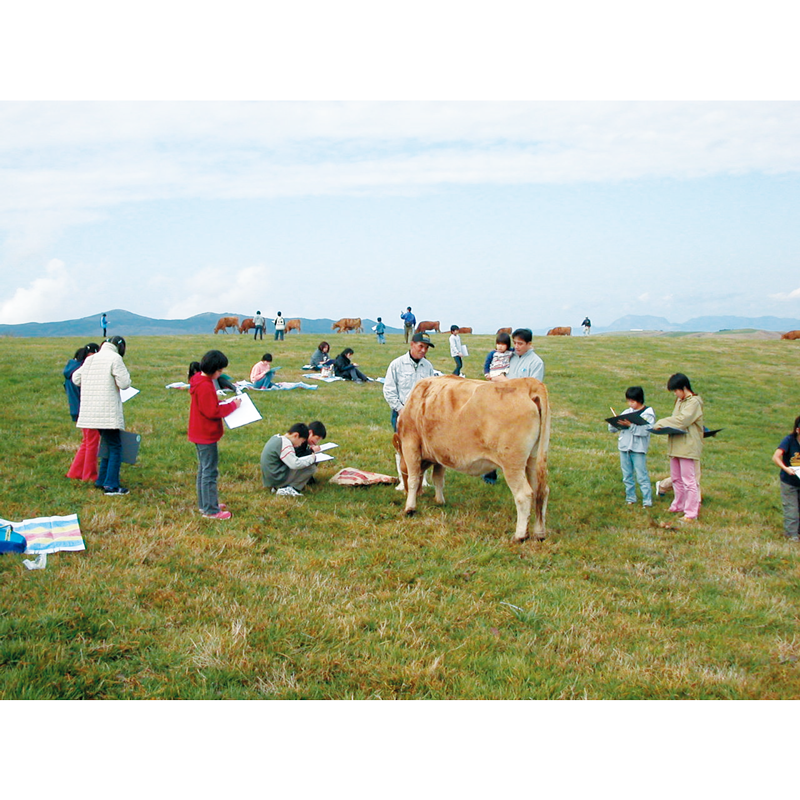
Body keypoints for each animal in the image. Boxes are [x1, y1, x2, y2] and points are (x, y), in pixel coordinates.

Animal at [394, 376, 552, 540]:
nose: (404, 491)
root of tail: (526, 383)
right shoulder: (440, 453)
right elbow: (438, 478)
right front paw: (439, 501)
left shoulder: (411, 444)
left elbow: (414, 478)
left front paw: (410, 508)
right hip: (533, 459)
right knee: (541, 491)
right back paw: (539, 532)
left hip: (512, 464)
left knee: (524, 495)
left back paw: (520, 536)